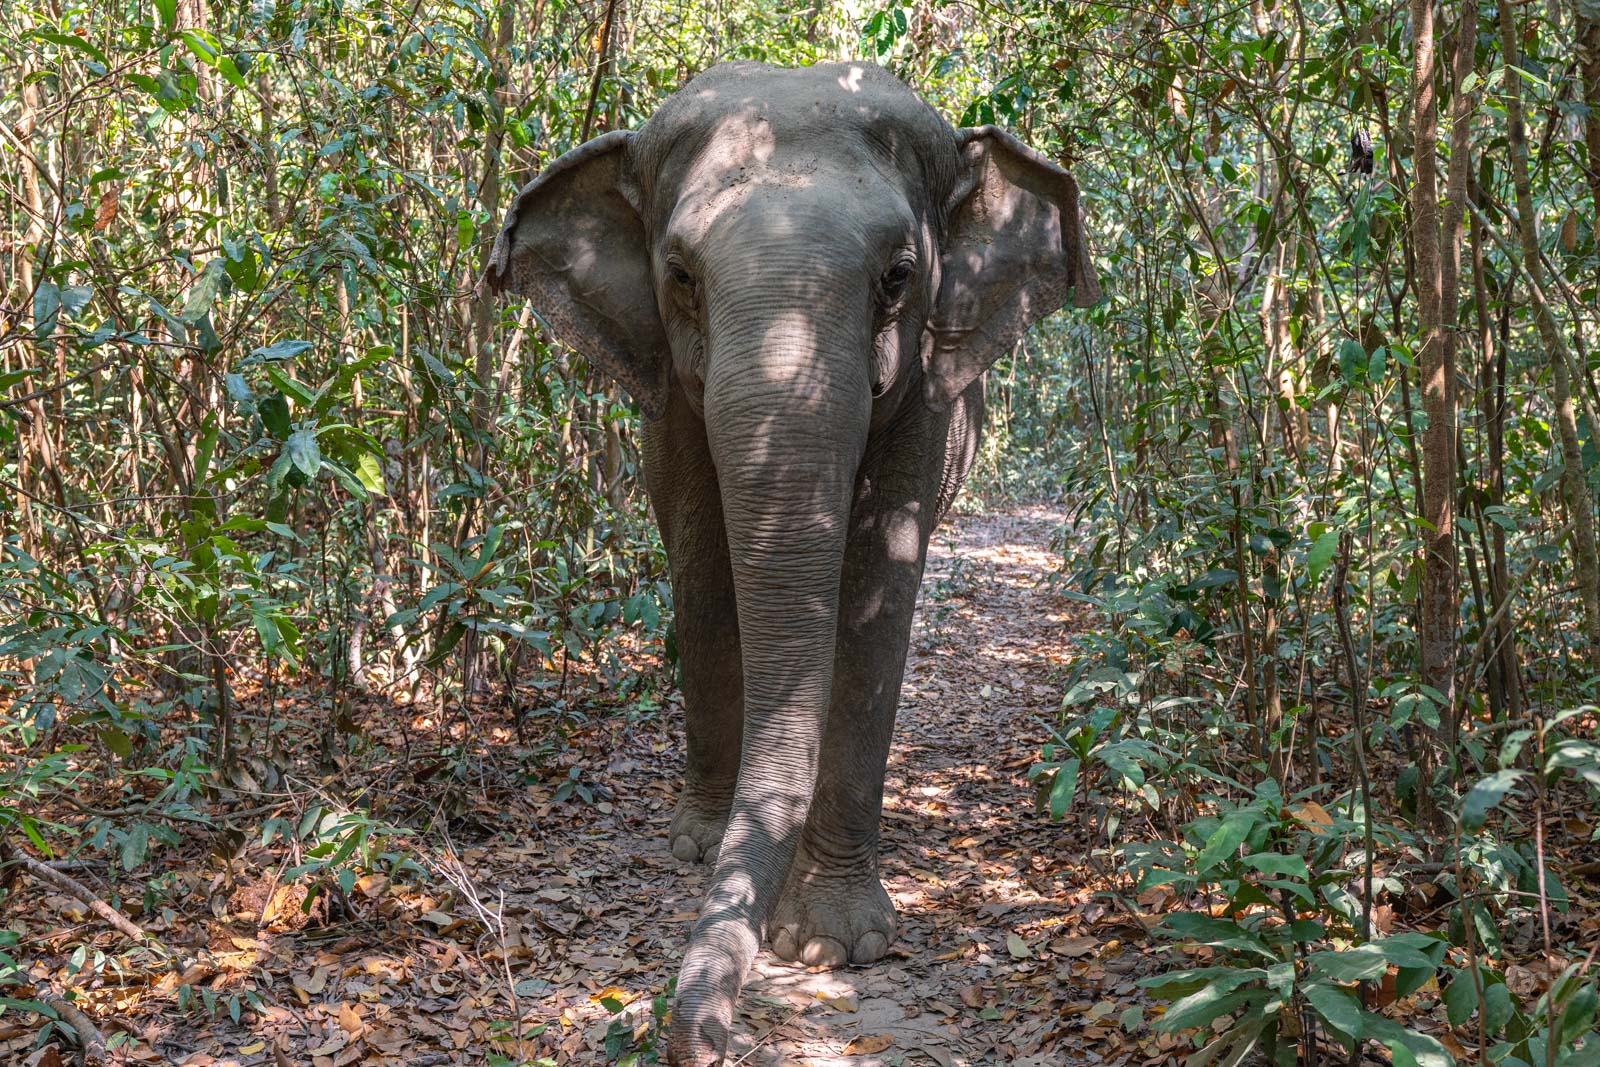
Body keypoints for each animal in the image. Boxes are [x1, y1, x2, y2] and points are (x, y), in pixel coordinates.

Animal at [480, 60, 1094, 1067]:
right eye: (680, 275)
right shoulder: (668, 397)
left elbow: (881, 586)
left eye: (899, 277)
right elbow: (698, 562)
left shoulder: (928, 397)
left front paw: (835, 943)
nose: (702, 1037)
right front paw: (699, 848)